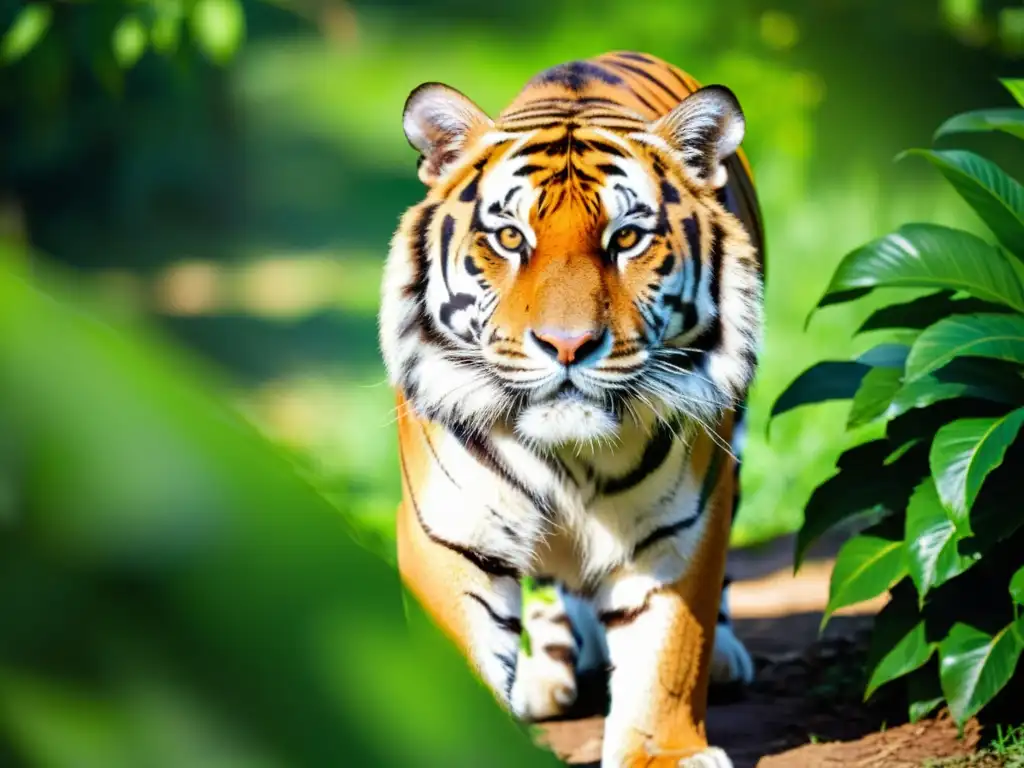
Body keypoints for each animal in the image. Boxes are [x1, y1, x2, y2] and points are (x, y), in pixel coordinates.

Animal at [376, 51, 761, 765]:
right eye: (508, 237)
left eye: (628, 239)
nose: (567, 345)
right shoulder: (451, 531)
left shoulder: (676, 527)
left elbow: (667, 653)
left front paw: (664, 752)